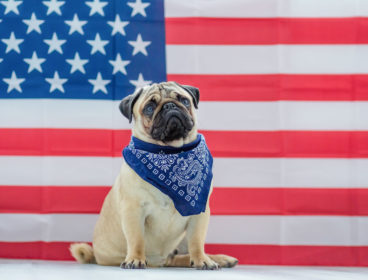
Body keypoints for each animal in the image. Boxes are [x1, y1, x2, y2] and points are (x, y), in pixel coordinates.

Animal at [70, 80, 239, 270]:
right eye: (149, 108)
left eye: (184, 101)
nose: (170, 106)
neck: (170, 151)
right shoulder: (133, 210)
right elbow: (136, 239)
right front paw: (135, 259)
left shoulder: (199, 214)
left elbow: (197, 241)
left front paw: (202, 260)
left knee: (181, 255)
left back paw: (218, 259)